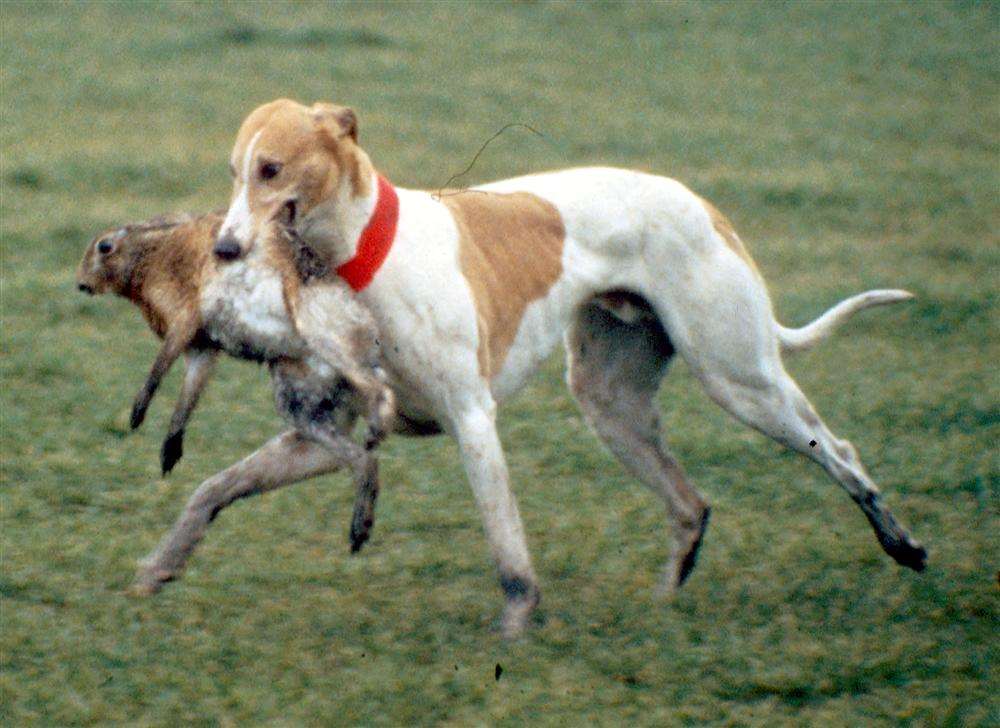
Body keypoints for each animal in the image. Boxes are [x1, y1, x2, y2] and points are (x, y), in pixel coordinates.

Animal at [156, 98, 928, 636]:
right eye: (234, 172)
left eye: (272, 169)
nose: (224, 249)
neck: (363, 256)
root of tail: (700, 202)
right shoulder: (325, 438)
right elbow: (215, 487)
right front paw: (162, 563)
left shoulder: (472, 421)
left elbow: (509, 550)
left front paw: (516, 629)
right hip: (609, 403)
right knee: (691, 505)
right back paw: (664, 603)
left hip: (739, 377)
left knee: (838, 451)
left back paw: (903, 544)